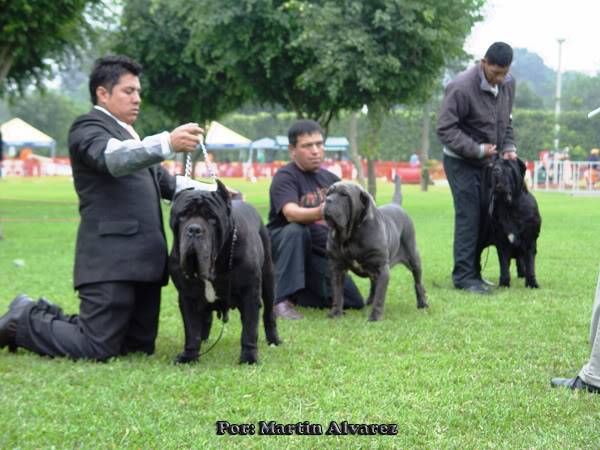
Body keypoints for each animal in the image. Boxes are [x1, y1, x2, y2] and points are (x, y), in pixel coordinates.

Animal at [169, 181, 282, 364]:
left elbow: (250, 328)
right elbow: (191, 329)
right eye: (182, 216)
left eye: (212, 219)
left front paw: (249, 357)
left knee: (268, 314)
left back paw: (273, 340)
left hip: (268, 280)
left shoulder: (250, 293)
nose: (194, 229)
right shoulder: (187, 296)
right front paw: (189, 356)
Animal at [324, 176, 426, 320]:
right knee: (373, 284)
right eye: (328, 193)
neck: (350, 235)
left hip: (413, 258)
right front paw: (335, 313)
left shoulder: (381, 268)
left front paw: (375, 316)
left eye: (344, 195)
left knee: (418, 281)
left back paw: (422, 303)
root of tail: (396, 205)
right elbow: (337, 293)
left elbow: (380, 296)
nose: (327, 200)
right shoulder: (337, 268)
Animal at [486, 158, 540, 288]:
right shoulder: (501, 241)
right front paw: (504, 283)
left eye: (509, 167)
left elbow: (530, 263)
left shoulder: (530, 240)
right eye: (495, 165)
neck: (510, 207)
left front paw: (532, 283)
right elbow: (504, 265)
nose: (496, 170)